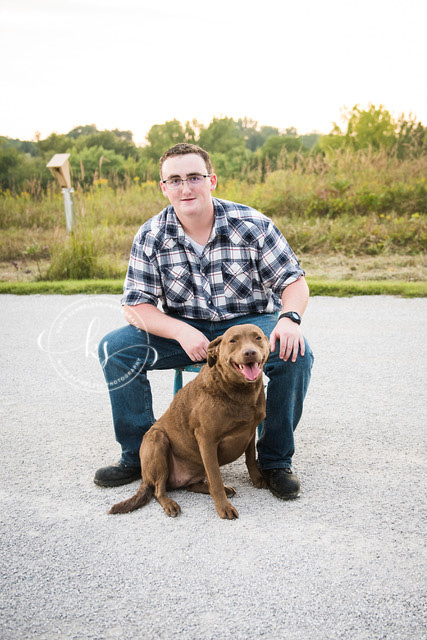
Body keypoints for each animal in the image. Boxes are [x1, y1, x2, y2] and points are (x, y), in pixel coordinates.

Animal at [110, 324, 270, 520]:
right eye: (233, 340)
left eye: (258, 338)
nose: (250, 352)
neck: (238, 392)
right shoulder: (207, 441)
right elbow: (216, 478)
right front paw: (223, 507)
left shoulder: (249, 432)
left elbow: (250, 460)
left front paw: (257, 479)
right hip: (157, 439)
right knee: (158, 490)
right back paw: (170, 504)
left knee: (192, 485)